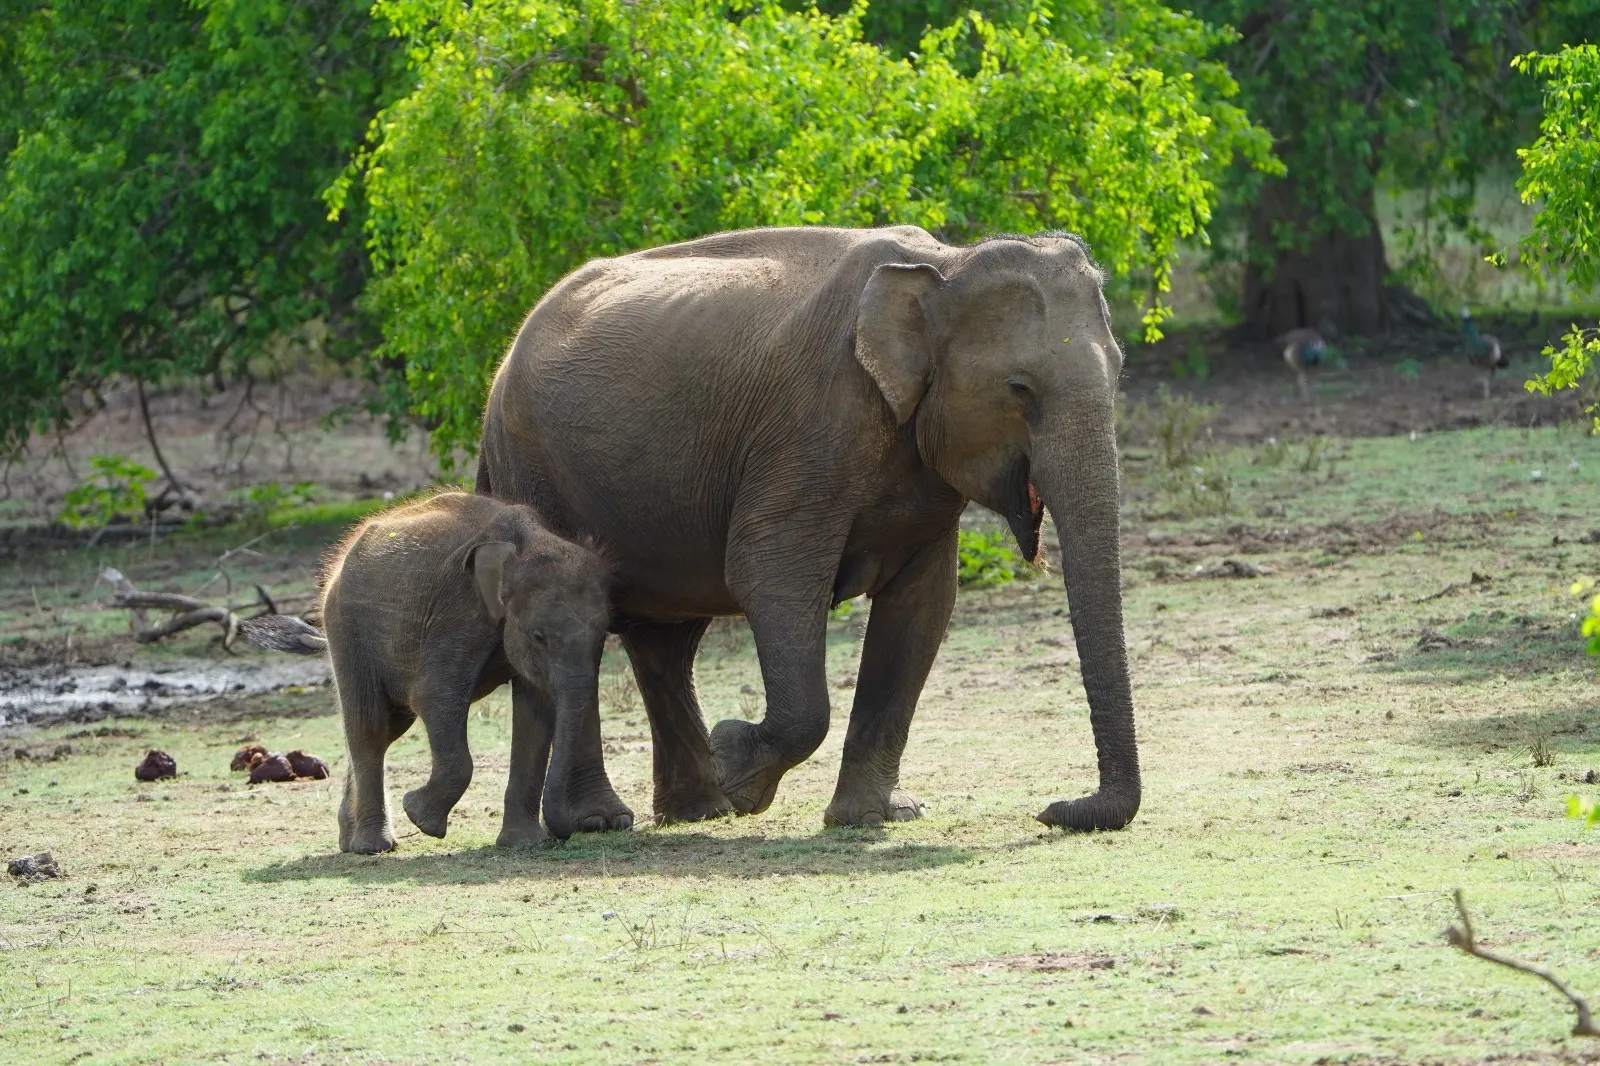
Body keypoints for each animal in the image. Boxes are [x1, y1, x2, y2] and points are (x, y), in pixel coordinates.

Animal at [321, 491, 632, 853]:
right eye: (538, 636)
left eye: (602, 635)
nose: (569, 830)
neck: (528, 543)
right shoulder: (459, 611)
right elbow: (432, 695)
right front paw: (419, 815)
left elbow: (536, 713)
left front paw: (522, 844)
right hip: (346, 626)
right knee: (369, 727)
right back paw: (373, 846)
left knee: (388, 728)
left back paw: (349, 841)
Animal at [477, 225, 1140, 832]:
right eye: (1019, 388)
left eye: (1120, 374)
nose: (1052, 809)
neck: (946, 264)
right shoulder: (807, 435)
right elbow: (771, 577)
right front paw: (737, 766)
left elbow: (923, 605)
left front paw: (875, 816)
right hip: (530, 465)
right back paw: (605, 821)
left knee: (665, 641)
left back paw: (699, 811)